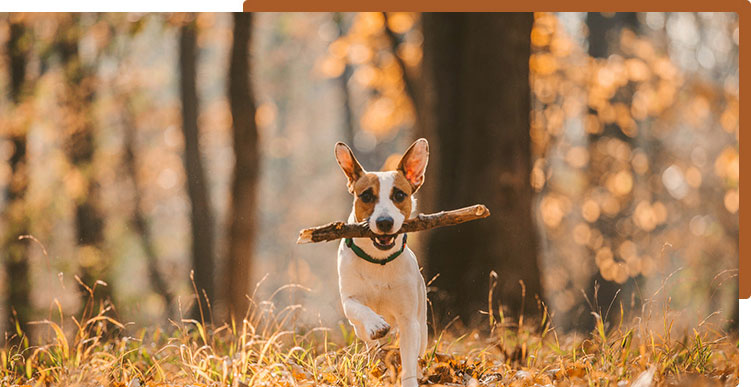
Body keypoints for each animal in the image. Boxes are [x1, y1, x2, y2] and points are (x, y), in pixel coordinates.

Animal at [334, 138, 428, 387]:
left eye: (399, 195)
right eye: (366, 196)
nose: (385, 222)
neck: (378, 262)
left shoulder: (408, 320)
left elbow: (408, 360)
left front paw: (410, 379)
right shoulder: (349, 299)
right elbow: (358, 308)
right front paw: (376, 324)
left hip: (422, 323)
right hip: (358, 330)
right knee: (369, 342)